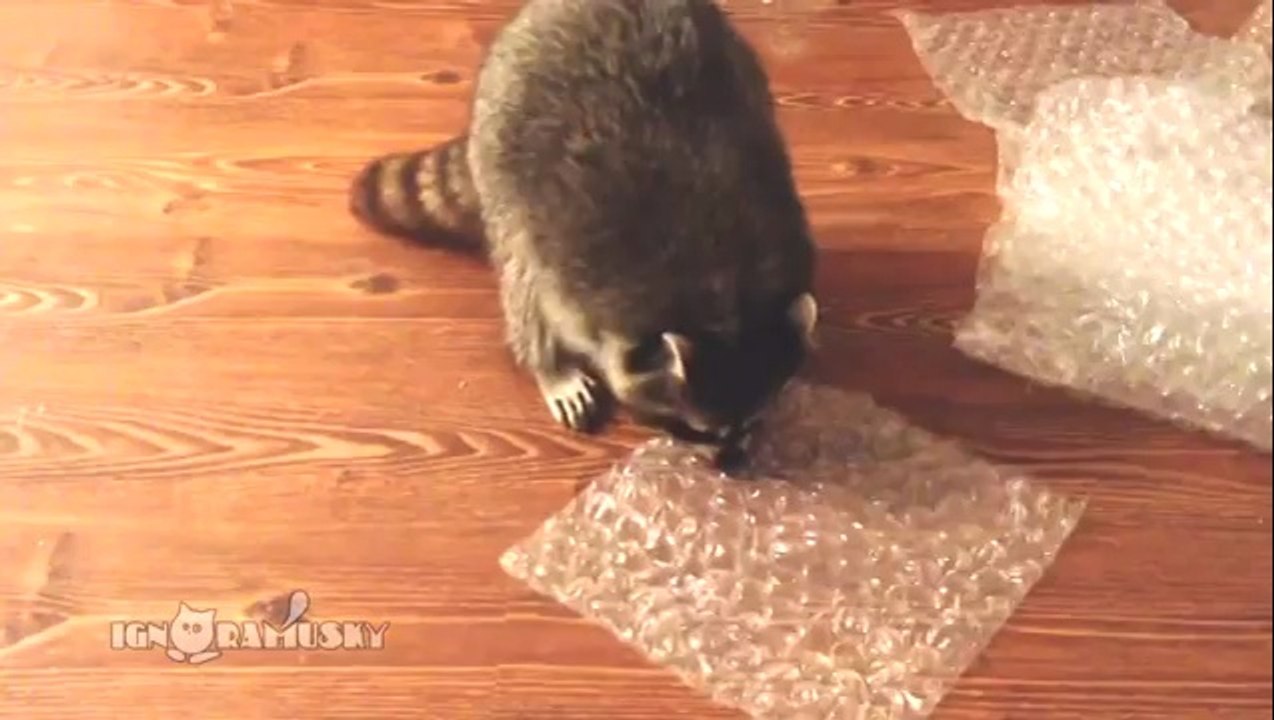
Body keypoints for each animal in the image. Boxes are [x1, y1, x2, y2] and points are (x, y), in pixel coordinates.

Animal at [350, 0, 819, 461]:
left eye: (751, 421)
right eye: (697, 431)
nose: (733, 466)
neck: (724, 299)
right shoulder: (574, 272)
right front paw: (550, 364)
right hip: (501, 159)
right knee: (519, 275)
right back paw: (545, 361)